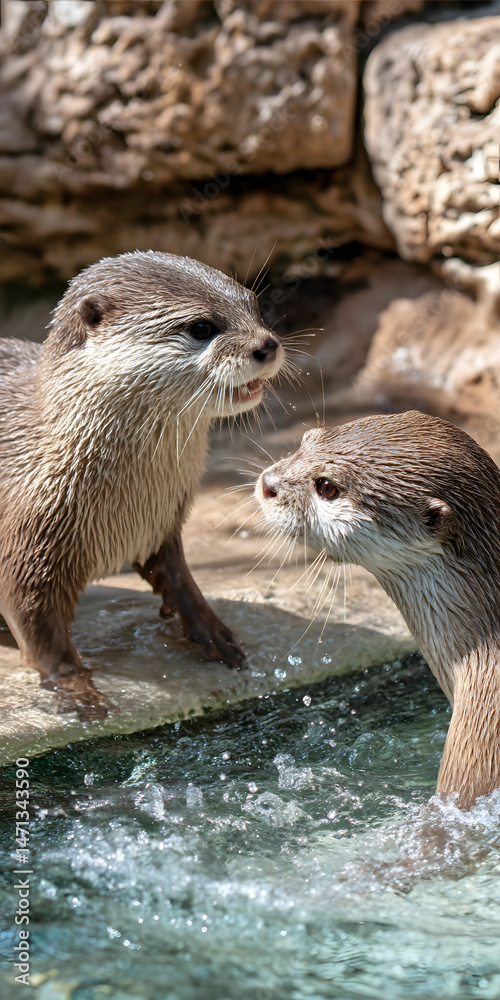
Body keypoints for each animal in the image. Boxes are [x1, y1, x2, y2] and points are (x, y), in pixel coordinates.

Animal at [0, 250, 283, 720]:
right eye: (201, 327)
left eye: (256, 306)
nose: (268, 345)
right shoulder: (26, 545)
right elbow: (41, 633)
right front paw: (79, 694)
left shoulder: (161, 520)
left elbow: (178, 576)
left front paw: (213, 632)